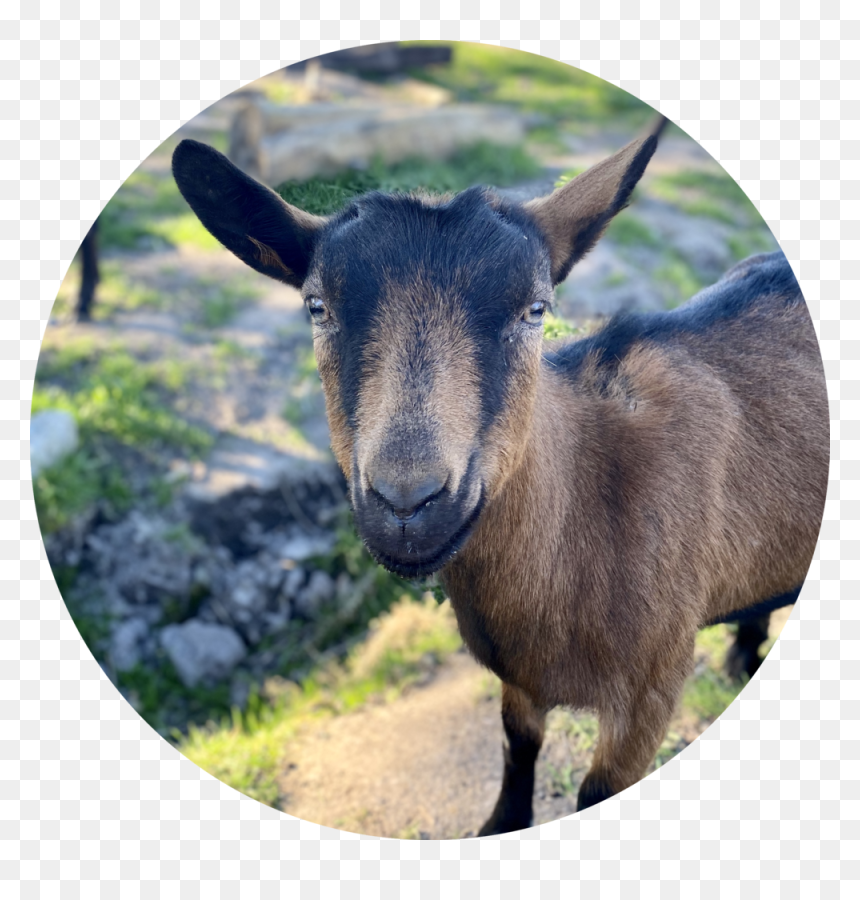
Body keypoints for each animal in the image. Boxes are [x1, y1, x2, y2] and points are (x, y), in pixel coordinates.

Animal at [172, 119, 828, 835]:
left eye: (535, 310)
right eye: (317, 307)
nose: (408, 501)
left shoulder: (651, 688)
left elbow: (596, 790)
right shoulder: (516, 674)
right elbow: (519, 744)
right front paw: (499, 825)